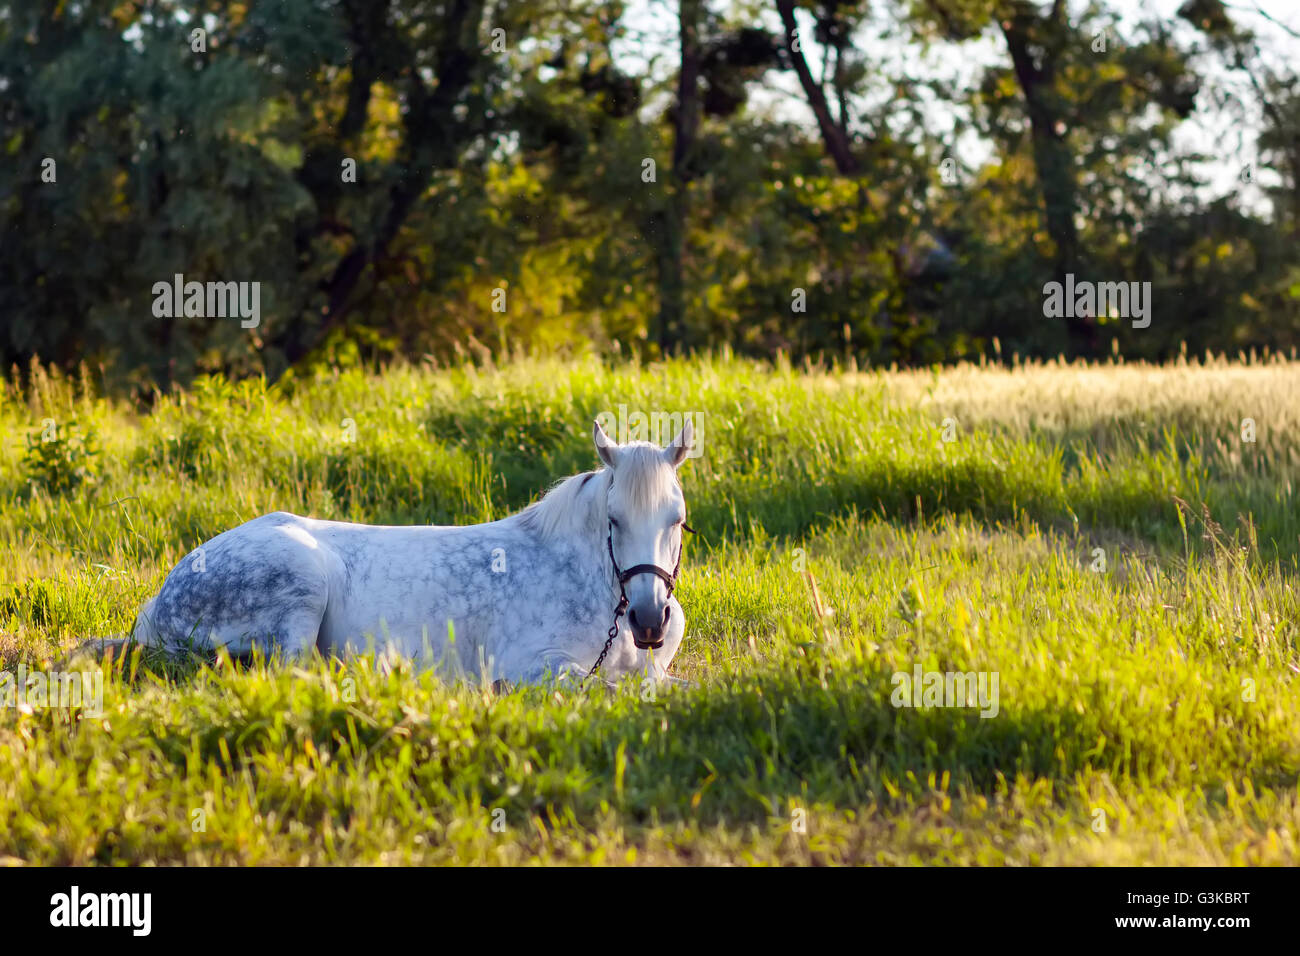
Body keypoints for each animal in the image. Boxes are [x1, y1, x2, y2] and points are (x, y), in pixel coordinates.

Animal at [100, 419, 694, 687]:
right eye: (614, 520)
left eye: (677, 519)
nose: (649, 620)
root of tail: (157, 604)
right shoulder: (535, 666)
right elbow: (609, 688)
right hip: (300, 581)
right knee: (296, 671)